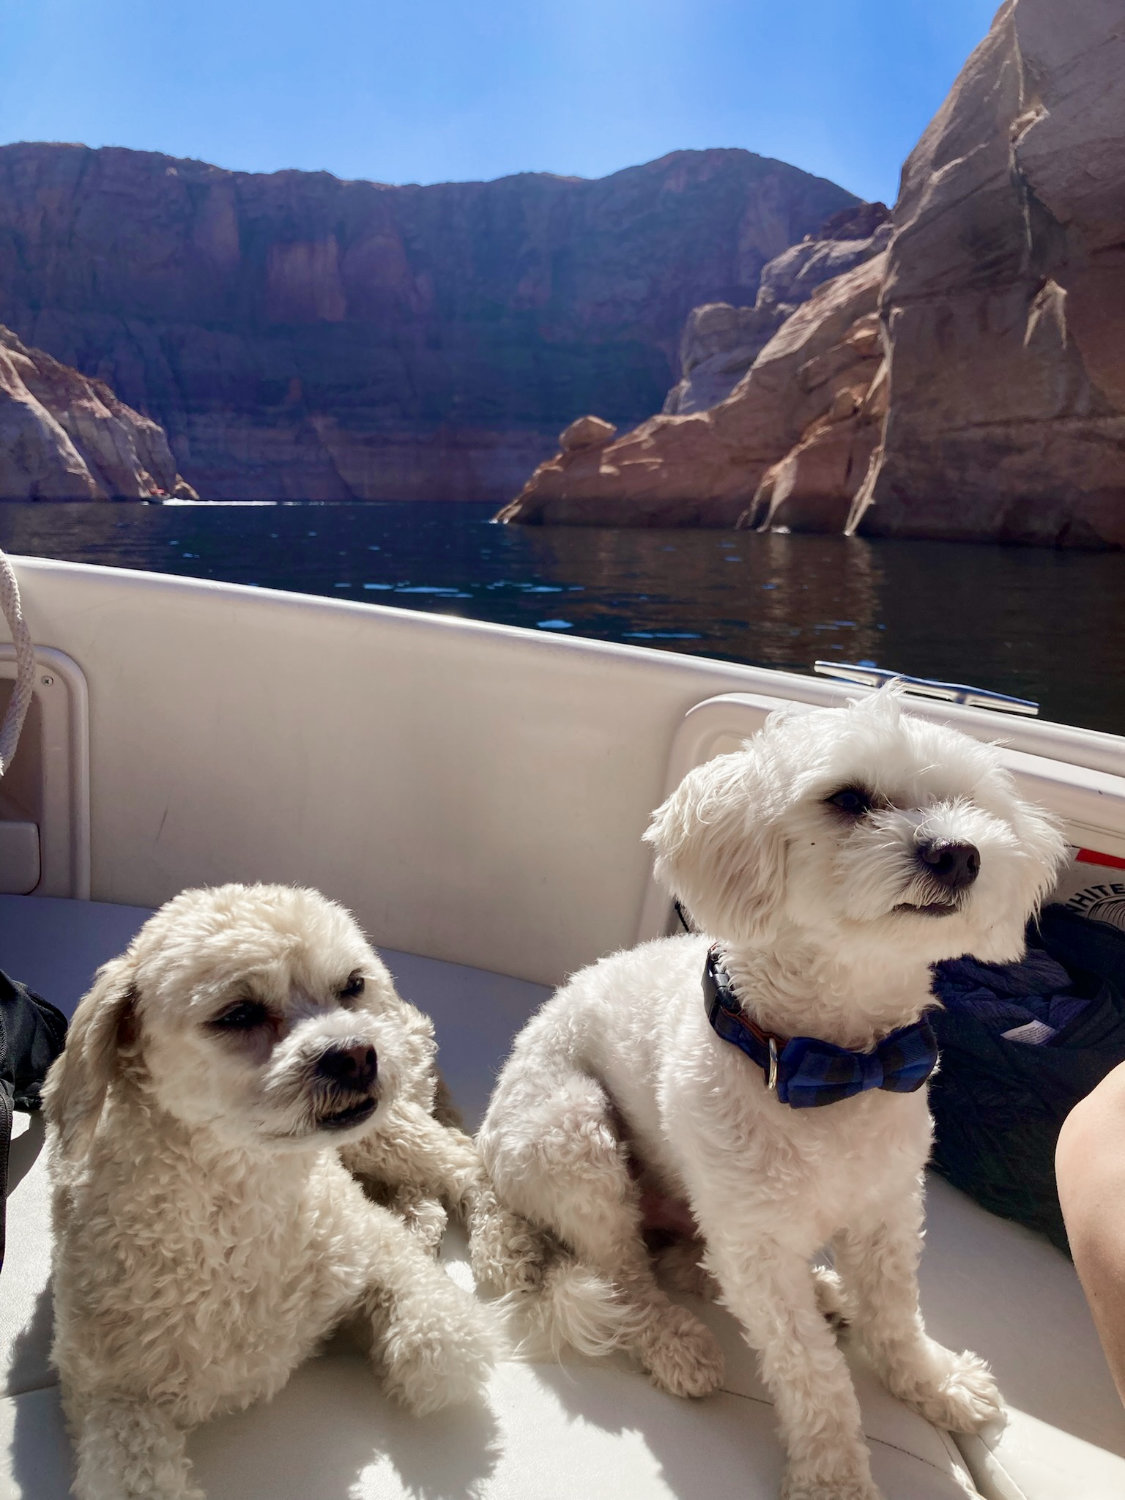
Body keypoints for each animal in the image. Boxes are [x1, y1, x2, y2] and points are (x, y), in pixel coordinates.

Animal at [45, 876, 501, 1500]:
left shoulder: (370, 1248)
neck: (244, 1203)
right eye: (238, 1013)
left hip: (383, 1130)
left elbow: (442, 1348)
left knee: (464, 1162)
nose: (356, 1054)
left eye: (352, 985)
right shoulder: (107, 1394)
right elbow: (133, 1470)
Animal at [471, 690, 1068, 1500]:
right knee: (625, 1273)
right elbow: (810, 1370)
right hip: (572, 1134)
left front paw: (933, 1384)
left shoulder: (887, 1209)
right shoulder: (754, 1246)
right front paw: (833, 1476)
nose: (958, 853)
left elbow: (895, 1315)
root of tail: (482, 1160)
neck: (835, 1064)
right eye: (848, 800)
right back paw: (674, 1343)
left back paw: (824, 1292)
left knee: (682, 1261)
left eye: (966, 803)